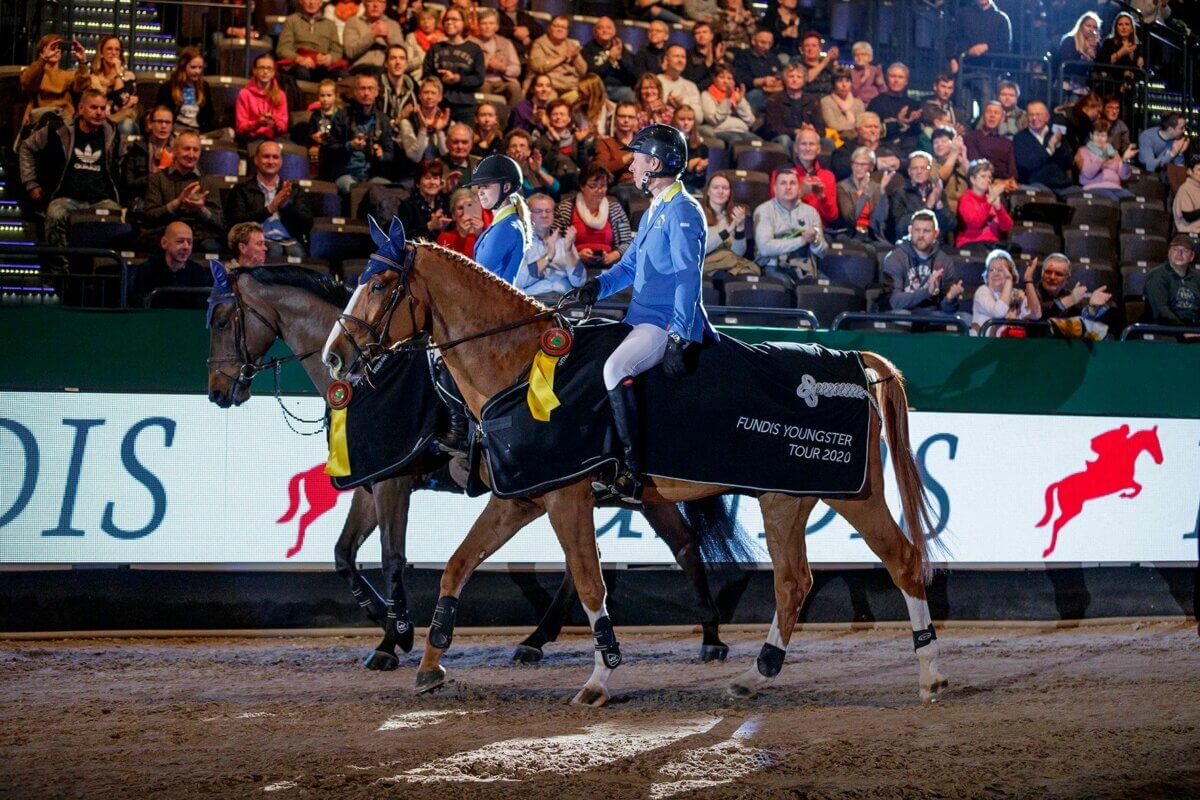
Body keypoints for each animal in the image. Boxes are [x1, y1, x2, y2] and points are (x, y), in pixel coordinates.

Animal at [205, 262, 729, 671]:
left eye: (223, 319)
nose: (217, 391)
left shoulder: (394, 483)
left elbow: (391, 557)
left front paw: (395, 637)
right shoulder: (372, 486)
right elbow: (343, 556)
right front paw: (385, 624)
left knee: (669, 548)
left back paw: (707, 638)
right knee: (665, 548)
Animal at [324, 214, 950, 705]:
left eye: (379, 284)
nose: (335, 356)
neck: (520, 365)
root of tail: (855, 361)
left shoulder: (564, 497)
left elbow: (588, 582)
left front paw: (599, 679)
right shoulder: (525, 498)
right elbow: (457, 566)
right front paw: (430, 665)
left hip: (845, 494)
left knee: (893, 563)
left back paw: (929, 676)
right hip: (787, 500)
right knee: (801, 580)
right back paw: (758, 675)